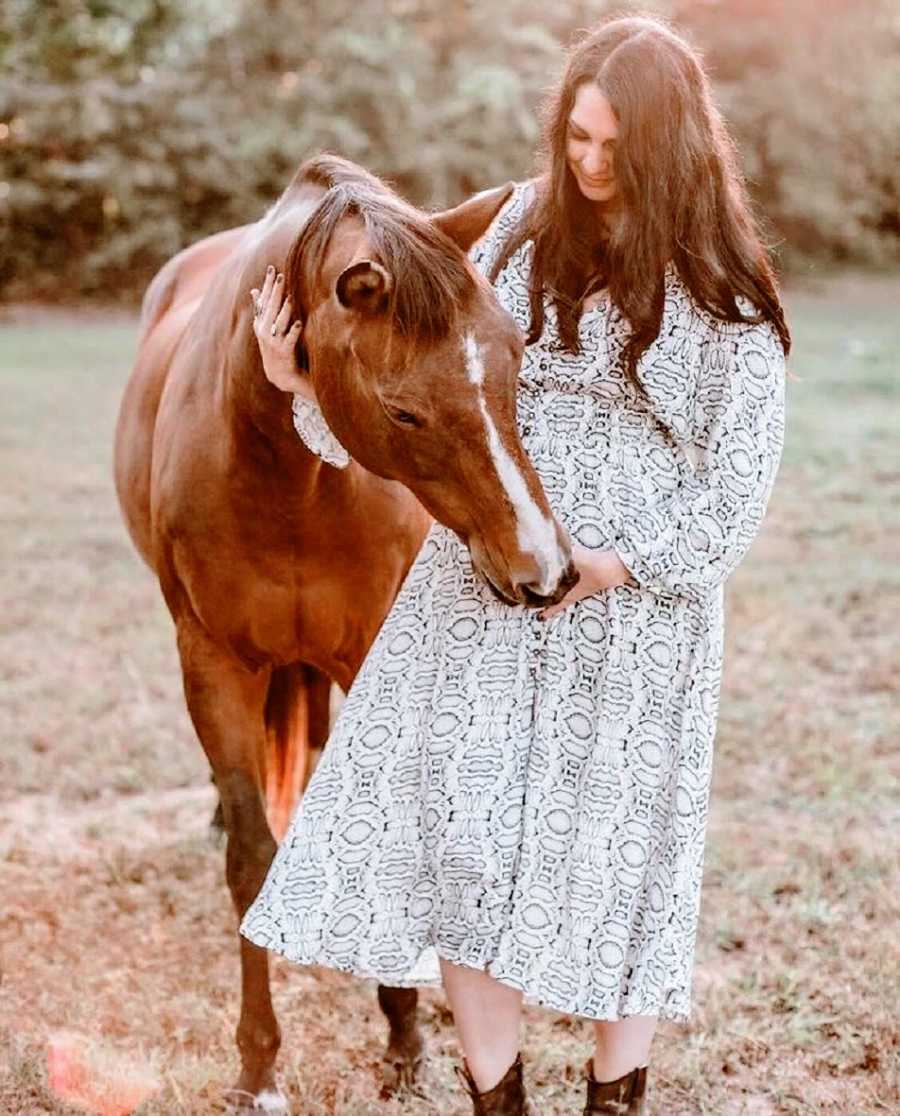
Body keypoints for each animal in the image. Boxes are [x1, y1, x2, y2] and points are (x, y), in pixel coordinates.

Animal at [114, 152, 576, 1111]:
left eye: (517, 362)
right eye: (403, 413)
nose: (544, 570)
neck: (288, 471)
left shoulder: (366, 654)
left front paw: (404, 1038)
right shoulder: (212, 664)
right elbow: (251, 858)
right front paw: (258, 1062)